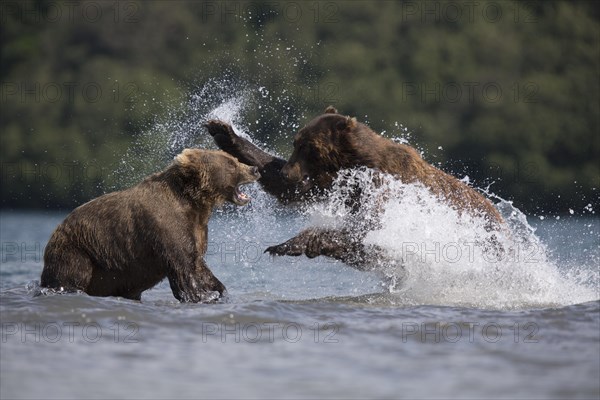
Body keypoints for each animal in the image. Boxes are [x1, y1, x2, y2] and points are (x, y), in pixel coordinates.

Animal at [39, 148, 260, 302]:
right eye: (231, 163)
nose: (254, 168)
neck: (194, 203)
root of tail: (54, 232)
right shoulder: (167, 226)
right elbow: (182, 267)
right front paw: (200, 296)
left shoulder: (196, 229)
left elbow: (197, 262)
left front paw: (219, 290)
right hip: (79, 251)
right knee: (71, 278)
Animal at [206, 106, 502, 268]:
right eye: (295, 143)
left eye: (308, 147)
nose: (291, 173)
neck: (354, 165)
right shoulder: (334, 185)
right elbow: (284, 183)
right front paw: (223, 131)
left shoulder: (384, 186)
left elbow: (368, 224)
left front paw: (289, 243)